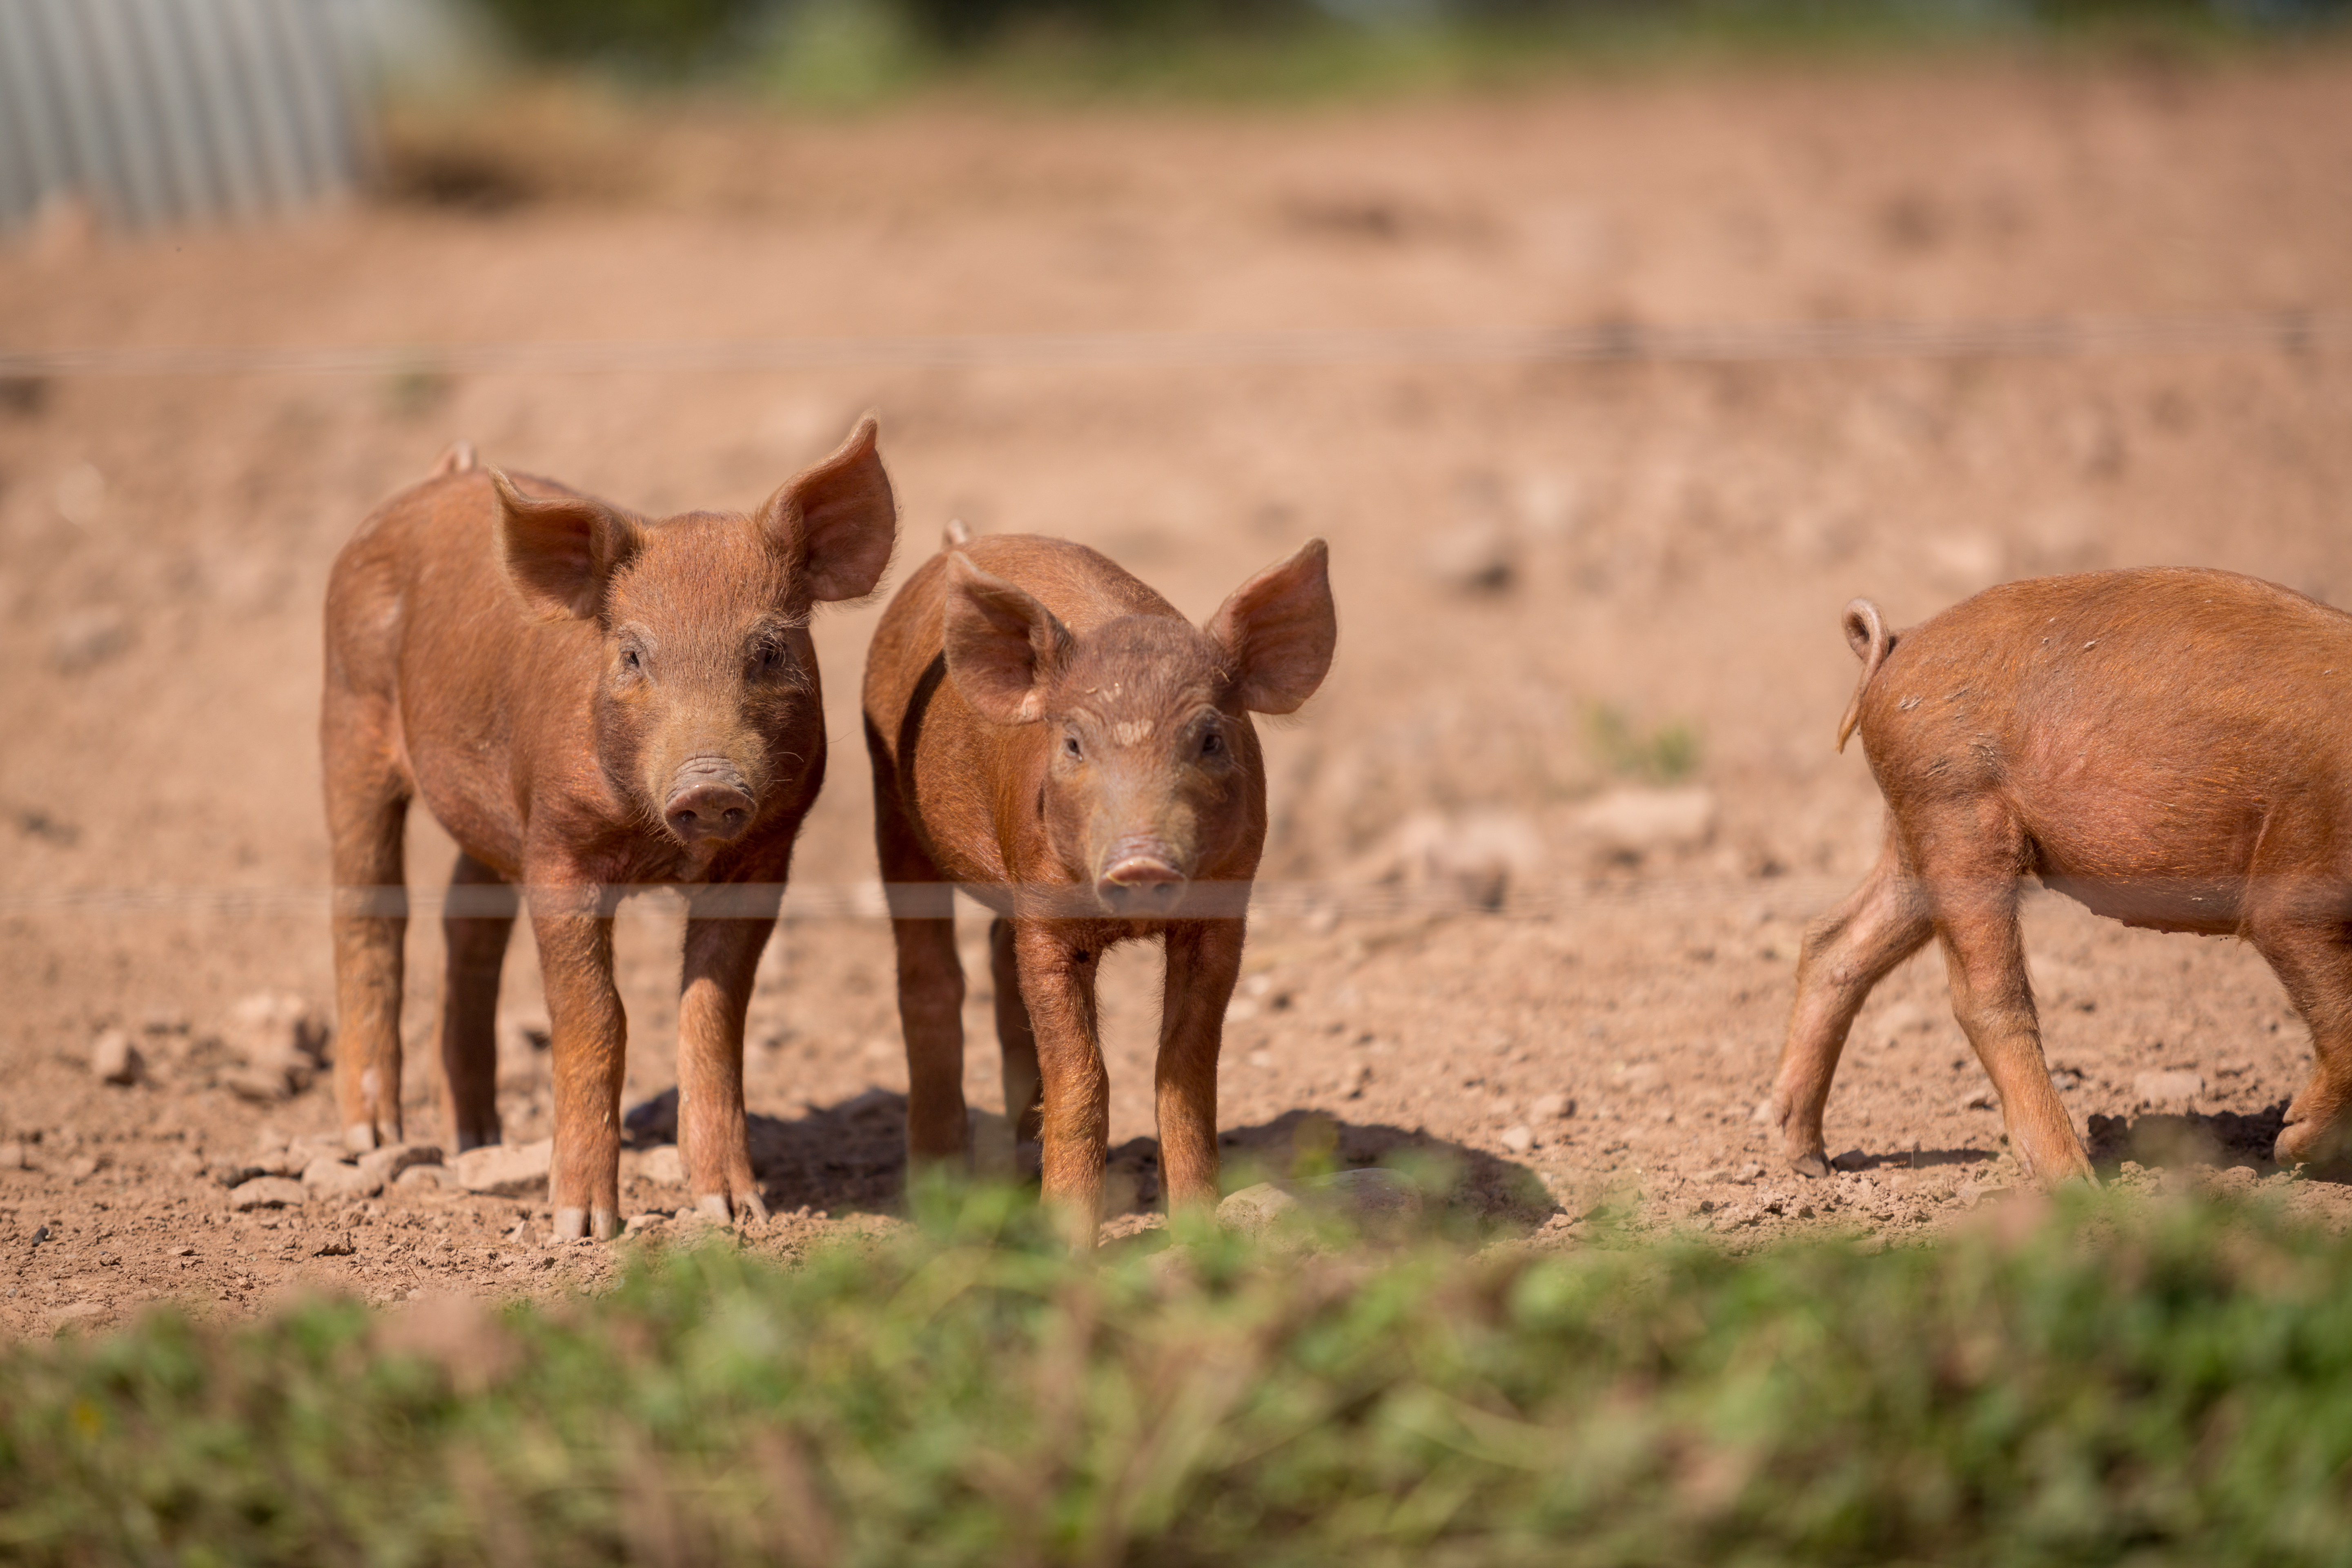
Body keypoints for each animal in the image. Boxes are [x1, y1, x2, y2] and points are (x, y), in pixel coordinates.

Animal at [321, 416, 897, 1240]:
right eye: (632, 653)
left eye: (768, 650)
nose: (709, 784)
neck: (658, 849)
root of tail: (436, 479)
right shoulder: (560, 847)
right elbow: (596, 1017)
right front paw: (582, 1227)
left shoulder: (763, 859)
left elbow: (712, 1016)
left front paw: (737, 1213)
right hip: (347, 714)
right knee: (368, 908)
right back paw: (374, 1137)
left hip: (492, 811)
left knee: (468, 923)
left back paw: (478, 1140)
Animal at [861, 528, 1335, 1239]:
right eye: (1075, 744)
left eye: (1210, 739)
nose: (1142, 862)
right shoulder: (1047, 914)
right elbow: (1084, 1077)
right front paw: (1065, 1246)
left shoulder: (1224, 914)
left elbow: (1183, 1071)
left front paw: (1198, 1234)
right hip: (889, 797)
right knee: (929, 977)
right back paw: (936, 1203)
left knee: (997, 956)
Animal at [1768, 567, 2352, 1185]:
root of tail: (1898, 645)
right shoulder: (2297, 888)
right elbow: (2342, 1022)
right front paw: (2289, 1147)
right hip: (1957, 811)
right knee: (1986, 999)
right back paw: (2077, 1181)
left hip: (1914, 830)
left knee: (1834, 942)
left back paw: (1811, 1163)